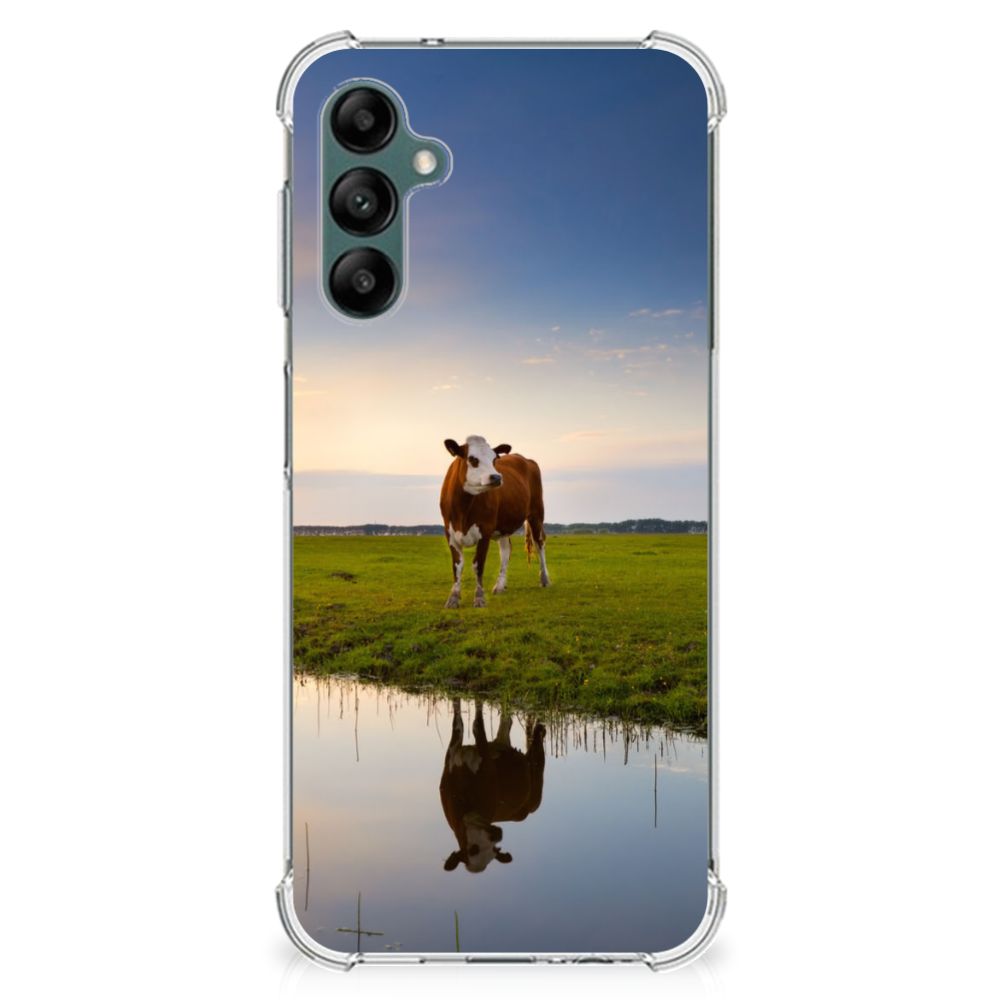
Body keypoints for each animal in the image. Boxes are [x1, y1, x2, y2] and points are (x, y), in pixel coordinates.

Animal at [439, 699, 546, 873]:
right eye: (473, 849)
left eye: (493, 851)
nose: (497, 834)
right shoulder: (452, 755)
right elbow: (458, 722)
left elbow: (477, 724)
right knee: (506, 721)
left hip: (536, 786)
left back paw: (540, 729)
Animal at [440, 435, 550, 608]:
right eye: (472, 459)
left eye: (494, 459)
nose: (497, 477)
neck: (463, 508)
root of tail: (526, 459)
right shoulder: (450, 533)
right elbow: (457, 565)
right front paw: (453, 598)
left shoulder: (485, 531)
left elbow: (478, 565)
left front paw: (479, 598)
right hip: (503, 526)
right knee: (506, 550)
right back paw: (499, 586)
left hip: (536, 513)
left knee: (540, 543)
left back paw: (544, 579)